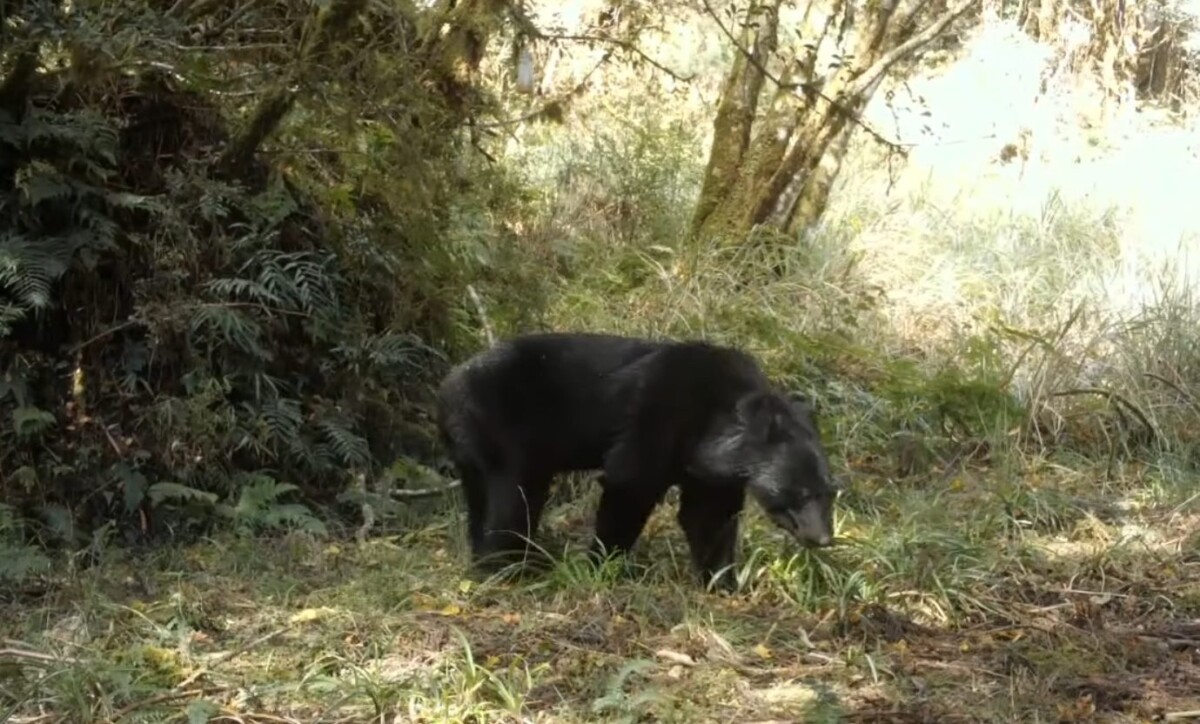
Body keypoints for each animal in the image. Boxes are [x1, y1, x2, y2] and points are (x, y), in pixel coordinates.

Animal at [435, 331, 840, 590]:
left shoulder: (712, 472)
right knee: (512, 499)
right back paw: (507, 567)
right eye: (800, 492)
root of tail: (444, 390)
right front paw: (602, 566)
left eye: (830, 492)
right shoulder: (657, 417)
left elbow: (708, 515)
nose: (823, 539)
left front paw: (722, 582)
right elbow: (629, 484)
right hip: (499, 427)